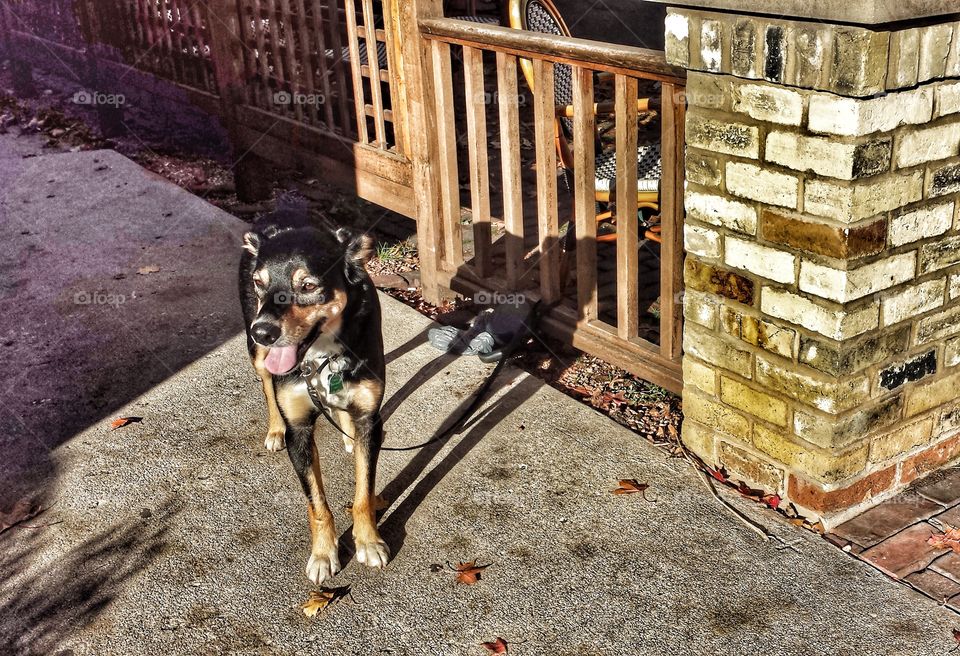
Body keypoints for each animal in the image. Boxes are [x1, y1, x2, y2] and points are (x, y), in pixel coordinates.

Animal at [238, 208, 388, 580]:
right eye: (260, 283)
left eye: (308, 286)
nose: (263, 332)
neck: (322, 354)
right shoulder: (300, 431)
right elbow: (317, 504)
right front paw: (323, 554)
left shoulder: (370, 421)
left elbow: (364, 493)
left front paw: (368, 542)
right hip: (257, 354)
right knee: (267, 384)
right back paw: (274, 429)